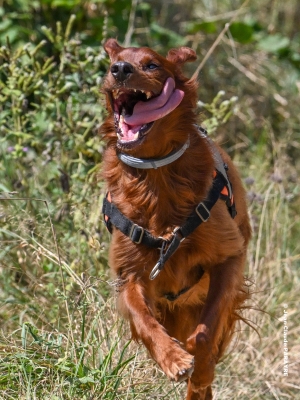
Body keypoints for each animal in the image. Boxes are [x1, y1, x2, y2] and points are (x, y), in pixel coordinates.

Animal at [101, 38, 251, 400]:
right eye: (112, 63)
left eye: (152, 65)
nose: (120, 70)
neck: (156, 177)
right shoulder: (130, 275)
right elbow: (143, 319)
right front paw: (173, 358)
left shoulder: (229, 258)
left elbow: (205, 333)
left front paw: (200, 370)